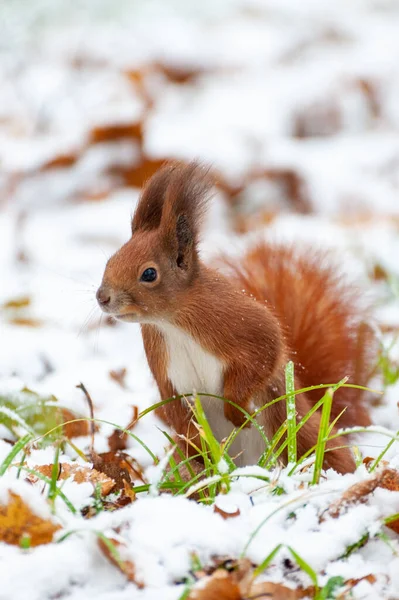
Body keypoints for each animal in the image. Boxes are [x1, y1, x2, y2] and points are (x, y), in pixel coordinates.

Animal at [96, 159, 376, 474]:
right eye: (110, 261)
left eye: (148, 274)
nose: (102, 297)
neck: (172, 324)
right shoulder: (164, 368)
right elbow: (173, 405)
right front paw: (194, 437)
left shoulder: (241, 325)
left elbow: (262, 357)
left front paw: (236, 410)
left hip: (301, 433)